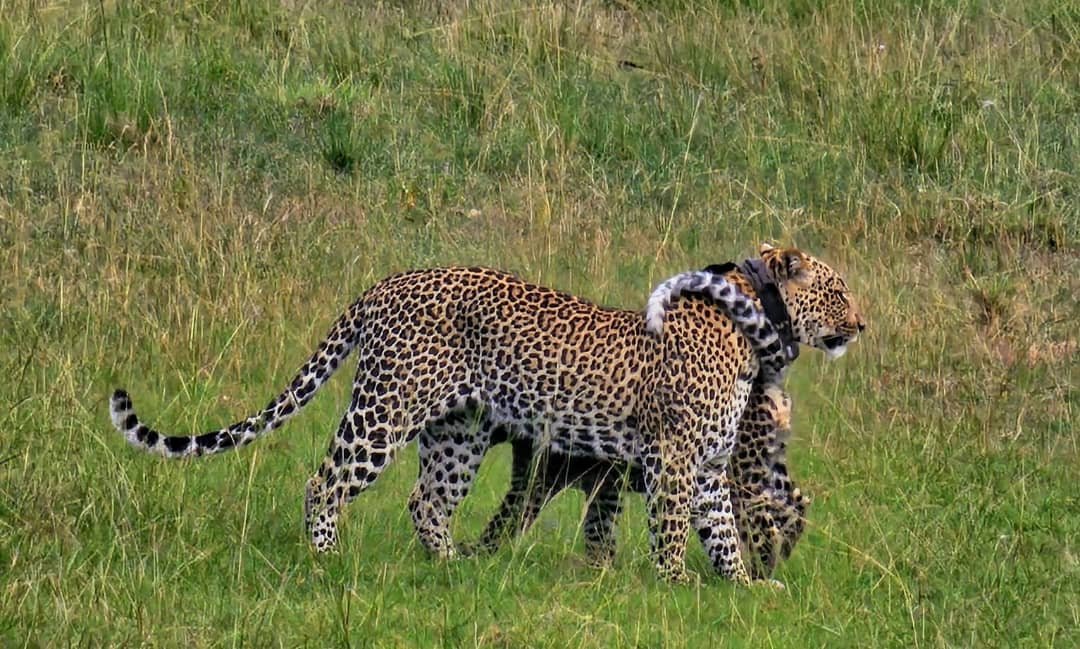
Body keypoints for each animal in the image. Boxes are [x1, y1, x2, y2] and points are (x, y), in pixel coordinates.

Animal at [109, 243, 862, 584]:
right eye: (838, 290)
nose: (862, 323)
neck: (751, 320)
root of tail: (386, 284)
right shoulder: (675, 456)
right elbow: (676, 528)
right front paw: (675, 584)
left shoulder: (708, 463)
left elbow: (723, 530)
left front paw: (744, 588)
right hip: (386, 409)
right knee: (326, 480)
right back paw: (326, 557)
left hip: (458, 433)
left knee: (427, 502)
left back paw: (452, 569)